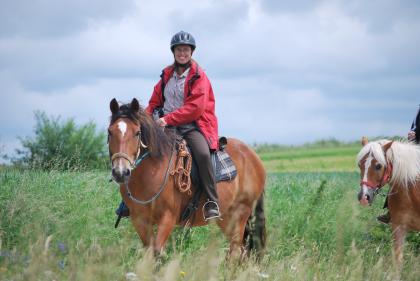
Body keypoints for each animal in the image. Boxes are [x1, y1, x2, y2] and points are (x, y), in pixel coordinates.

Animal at [107, 98, 266, 258]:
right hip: (227, 217)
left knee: (235, 250)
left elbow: (157, 252)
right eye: (110, 132)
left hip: (241, 212)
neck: (150, 172)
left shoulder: (168, 218)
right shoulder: (139, 220)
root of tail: (253, 156)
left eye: (137, 133)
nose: (121, 172)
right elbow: (150, 253)